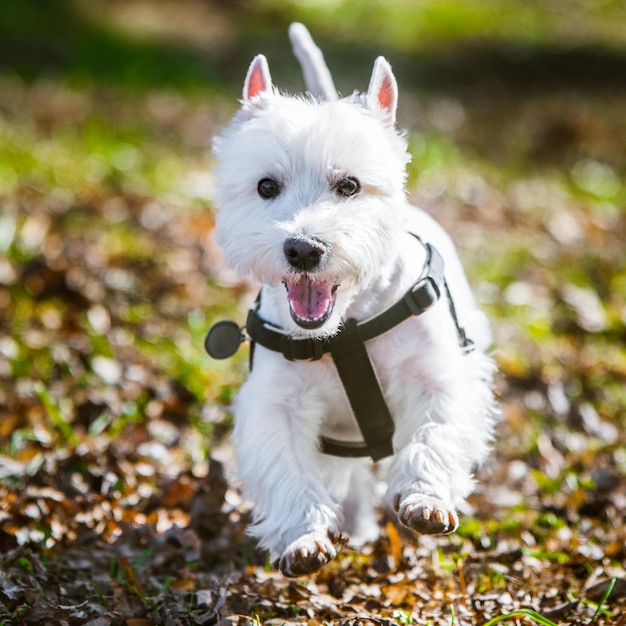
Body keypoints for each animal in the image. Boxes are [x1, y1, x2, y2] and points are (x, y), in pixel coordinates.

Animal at [205, 24, 498, 572]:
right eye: (266, 186)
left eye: (350, 185)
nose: (303, 249)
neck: (346, 331)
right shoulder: (278, 404)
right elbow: (289, 470)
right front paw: (303, 538)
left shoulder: (437, 378)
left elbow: (433, 435)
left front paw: (425, 500)